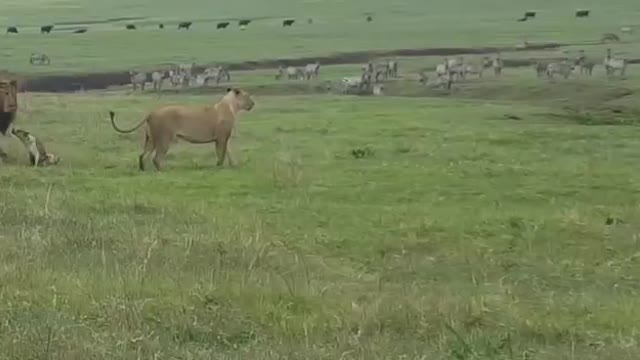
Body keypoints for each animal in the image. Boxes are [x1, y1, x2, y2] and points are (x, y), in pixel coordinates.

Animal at [109, 88, 254, 171]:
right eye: (247, 96)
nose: (253, 103)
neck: (231, 105)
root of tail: (151, 112)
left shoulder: (224, 138)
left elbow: (228, 152)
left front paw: (233, 165)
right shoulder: (221, 138)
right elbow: (221, 153)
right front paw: (219, 166)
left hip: (151, 139)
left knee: (143, 155)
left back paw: (143, 170)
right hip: (164, 138)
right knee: (156, 158)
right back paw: (165, 170)